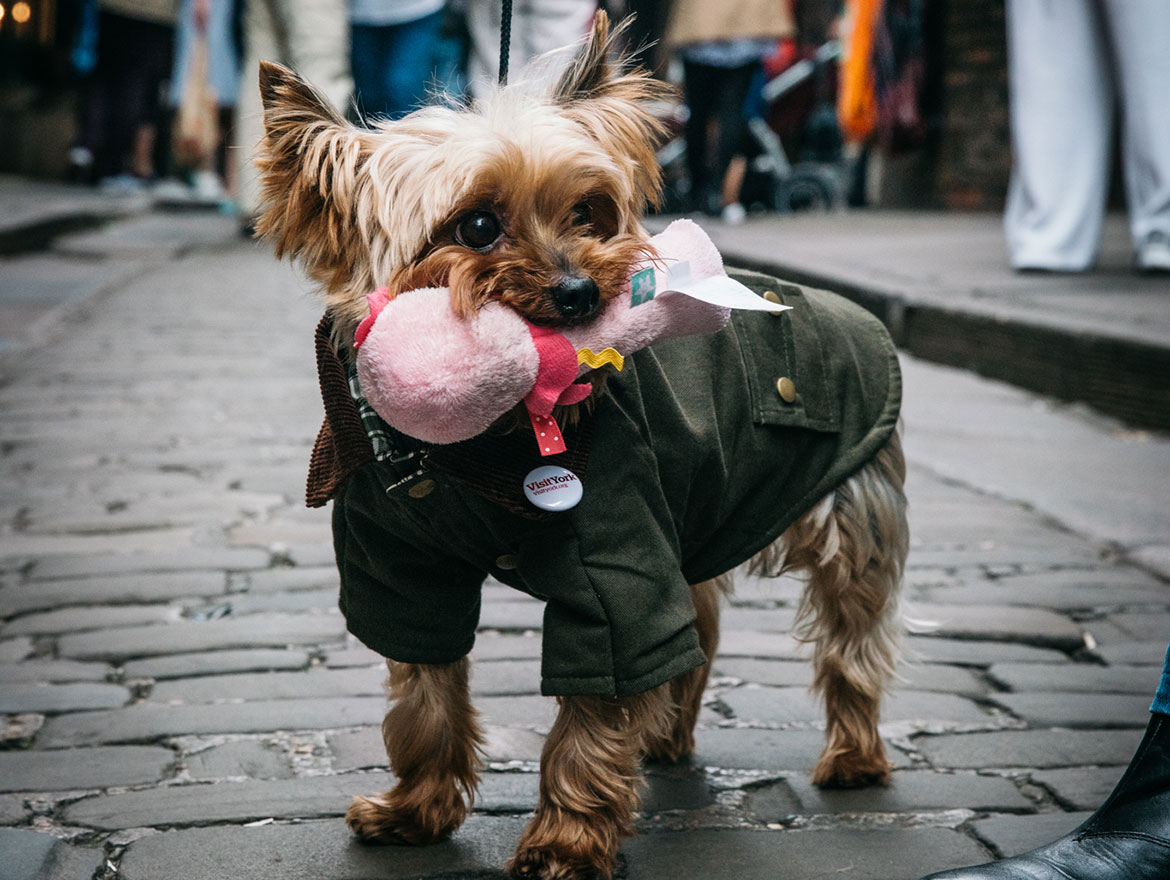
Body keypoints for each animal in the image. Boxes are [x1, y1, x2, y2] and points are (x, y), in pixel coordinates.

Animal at [260, 13, 907, 880]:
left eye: (588, 212)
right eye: (476, 225)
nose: (580, 293)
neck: (472, 449)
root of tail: (848, 310)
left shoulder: (617, 562)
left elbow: (596, 706)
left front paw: (564, 842)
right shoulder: (400, 565)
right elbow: (425, 692)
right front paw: (415, 812)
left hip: (848, 508)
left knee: (850, 638)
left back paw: (854, 758)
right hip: (695, 509)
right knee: (698, 631)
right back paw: (668, 740)